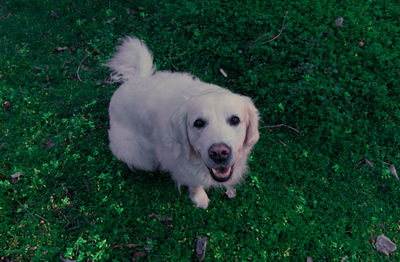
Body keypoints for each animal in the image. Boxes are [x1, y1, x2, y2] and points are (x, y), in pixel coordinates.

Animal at [106, 36, 260, 209]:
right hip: (135, 153)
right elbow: (195, 184)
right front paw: (199, 198)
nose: (219, 153)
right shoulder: (183, 169)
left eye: (235, 119)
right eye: (198, 123)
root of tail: (131, 81)